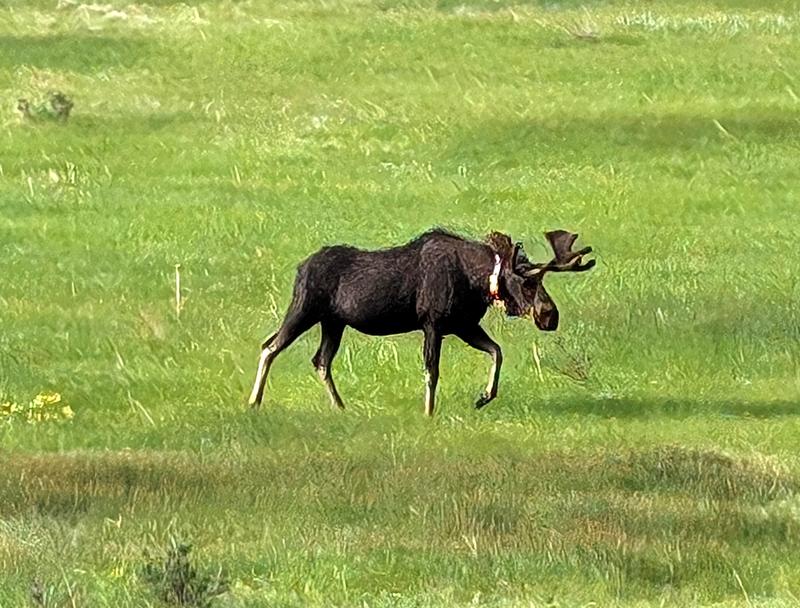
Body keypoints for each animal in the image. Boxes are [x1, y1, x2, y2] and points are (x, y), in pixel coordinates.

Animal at [248, 228, 595, 416]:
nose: (550, 316)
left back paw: (341, 406)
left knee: (320, 360)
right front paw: (428, 411)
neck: (477, 283)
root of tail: (300, 267)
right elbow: (432, 371)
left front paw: (483, 397)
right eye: (527, 282)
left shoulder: (463, 326)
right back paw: (254, 401)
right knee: (270, 346)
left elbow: (497, 351)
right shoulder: (434, 324)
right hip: (304, 310)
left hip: (334, 323)